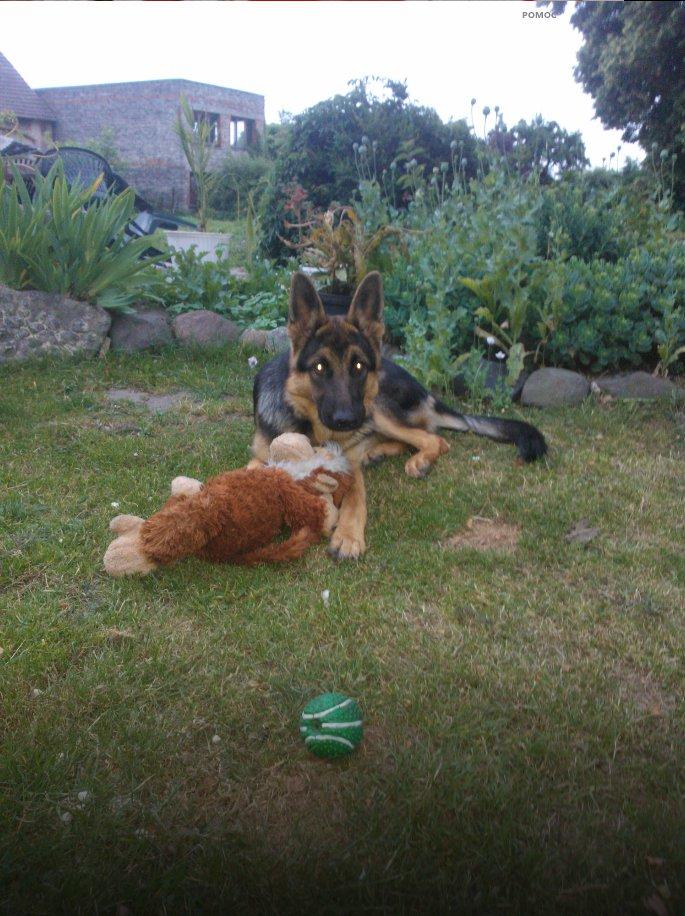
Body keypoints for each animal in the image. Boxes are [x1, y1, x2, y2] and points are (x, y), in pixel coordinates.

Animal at [250, 271, 547, 560]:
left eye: (359, 366)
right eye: (319, 367)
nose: (348, 420)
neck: (313, 429)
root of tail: (423, 387)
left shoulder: (350, 462)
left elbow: (355, 498)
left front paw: (348, 536)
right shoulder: (262, 454)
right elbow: (256, 470)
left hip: (377, 407)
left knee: (434, 438)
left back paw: (417, 460)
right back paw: (377, 452)